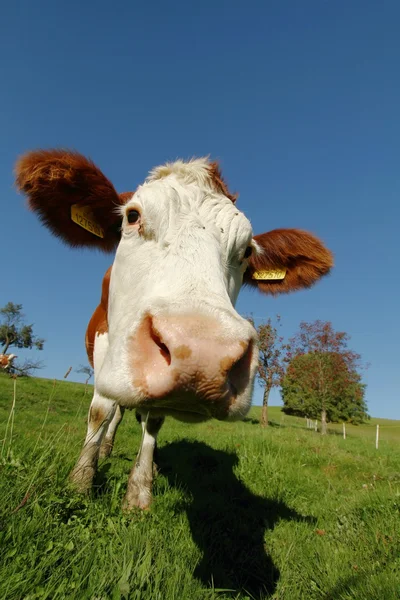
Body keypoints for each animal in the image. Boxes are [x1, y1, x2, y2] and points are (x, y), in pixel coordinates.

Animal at [14, 150, 332, 510]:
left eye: (248, 250)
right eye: (132, 216)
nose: (203, 357)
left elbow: (152, 422)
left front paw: (139, 493)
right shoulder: (105, 345)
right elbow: (100, 411)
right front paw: (80, 481)